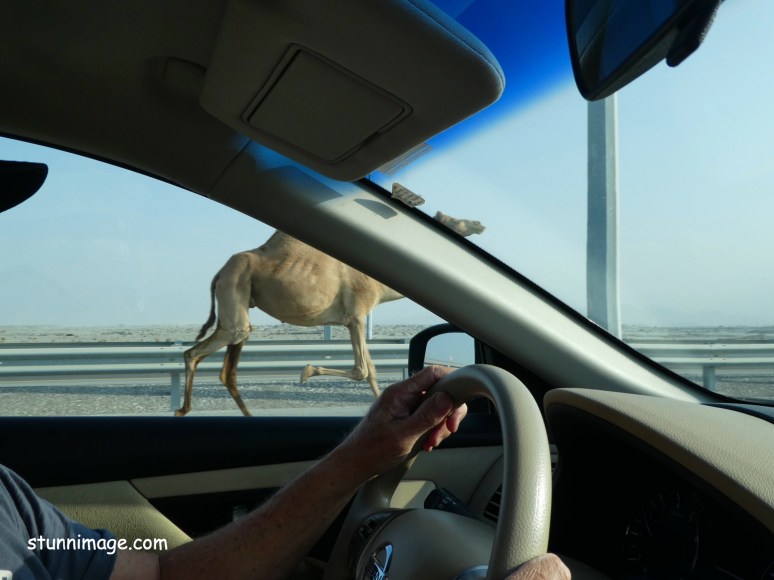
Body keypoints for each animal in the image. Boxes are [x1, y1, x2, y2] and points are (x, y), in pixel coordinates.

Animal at [175, 211, 485, 416]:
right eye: (453, 219)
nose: (479, 223)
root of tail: (218, 273)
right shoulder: (357, 314)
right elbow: (363, 370)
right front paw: (306, 372)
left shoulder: (352, 320)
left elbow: (370, 371)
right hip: (235, 290)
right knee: (197, 352)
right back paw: (183, 409)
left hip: (238, 303)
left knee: (225, 369)